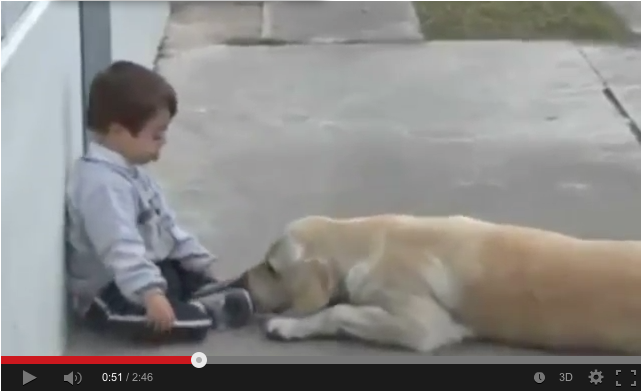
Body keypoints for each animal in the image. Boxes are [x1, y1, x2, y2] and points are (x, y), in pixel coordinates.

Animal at [229, 214, 640, 356]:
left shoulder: (423, 325)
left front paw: (288, 326)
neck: (365, 241)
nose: (239, 280)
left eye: (271, 267)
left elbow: (339, 310)